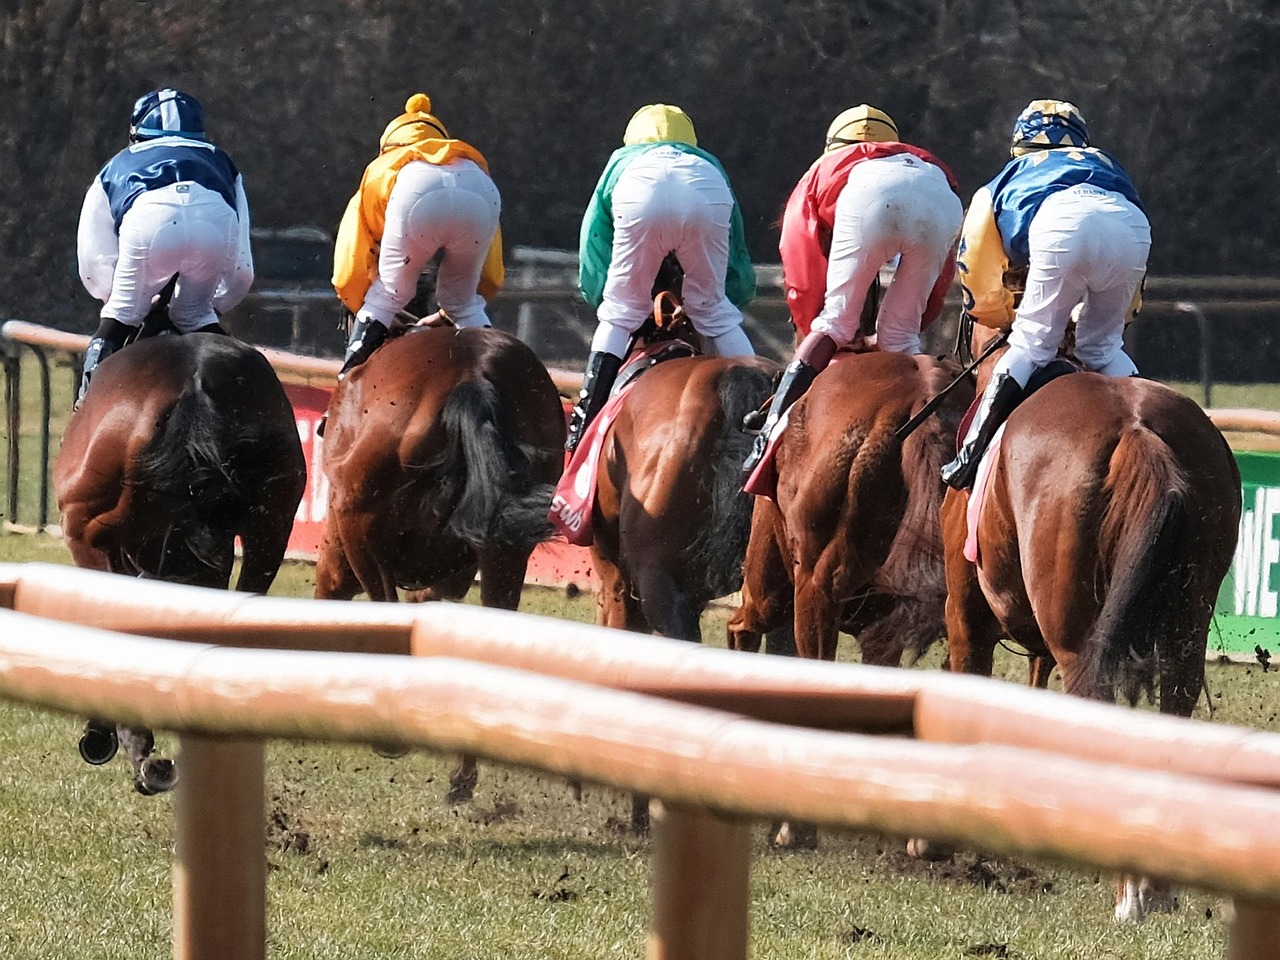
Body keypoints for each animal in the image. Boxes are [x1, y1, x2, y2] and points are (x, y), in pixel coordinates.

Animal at [314, 323, 565, 803]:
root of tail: (470, 376)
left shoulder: (345, 547)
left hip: (359, 524)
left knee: (383, 607)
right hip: (505, 552)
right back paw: (462, 774)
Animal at [942, 317, 1239, 926]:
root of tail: (1140, 434)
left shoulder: (966, 619)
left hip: (1078, 639)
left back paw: (1129, 891)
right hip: (1187, 621)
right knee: (1175, 698)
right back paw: (1156, 884)